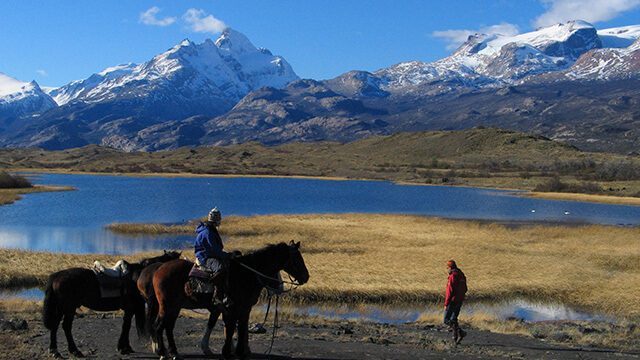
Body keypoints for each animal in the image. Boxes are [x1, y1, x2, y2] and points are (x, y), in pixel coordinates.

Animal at [42, 250, 182, 358]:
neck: (137, 276)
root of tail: (56, 276)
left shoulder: (129, 310)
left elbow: (126, 325)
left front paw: (125, 347)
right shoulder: (130, 308)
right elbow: (126, 326)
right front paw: (123, 348)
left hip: (63, 308)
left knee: (56, 326)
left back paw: (56, 351)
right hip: (68, 308)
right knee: (64, 326)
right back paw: (72, 351)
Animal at [149, 242, 312, 360]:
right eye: (297, 259)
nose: (306, 277)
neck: (247, 274)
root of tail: (159, 269)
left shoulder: (244, 309)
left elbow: (240, 328)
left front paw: (239, 352)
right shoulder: (231, 309)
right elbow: (231, 329)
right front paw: (227, 352)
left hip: (175, 307)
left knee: (168, 327)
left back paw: (173, 352)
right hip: (167, 305)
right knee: (159, 326)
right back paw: (162, 352)